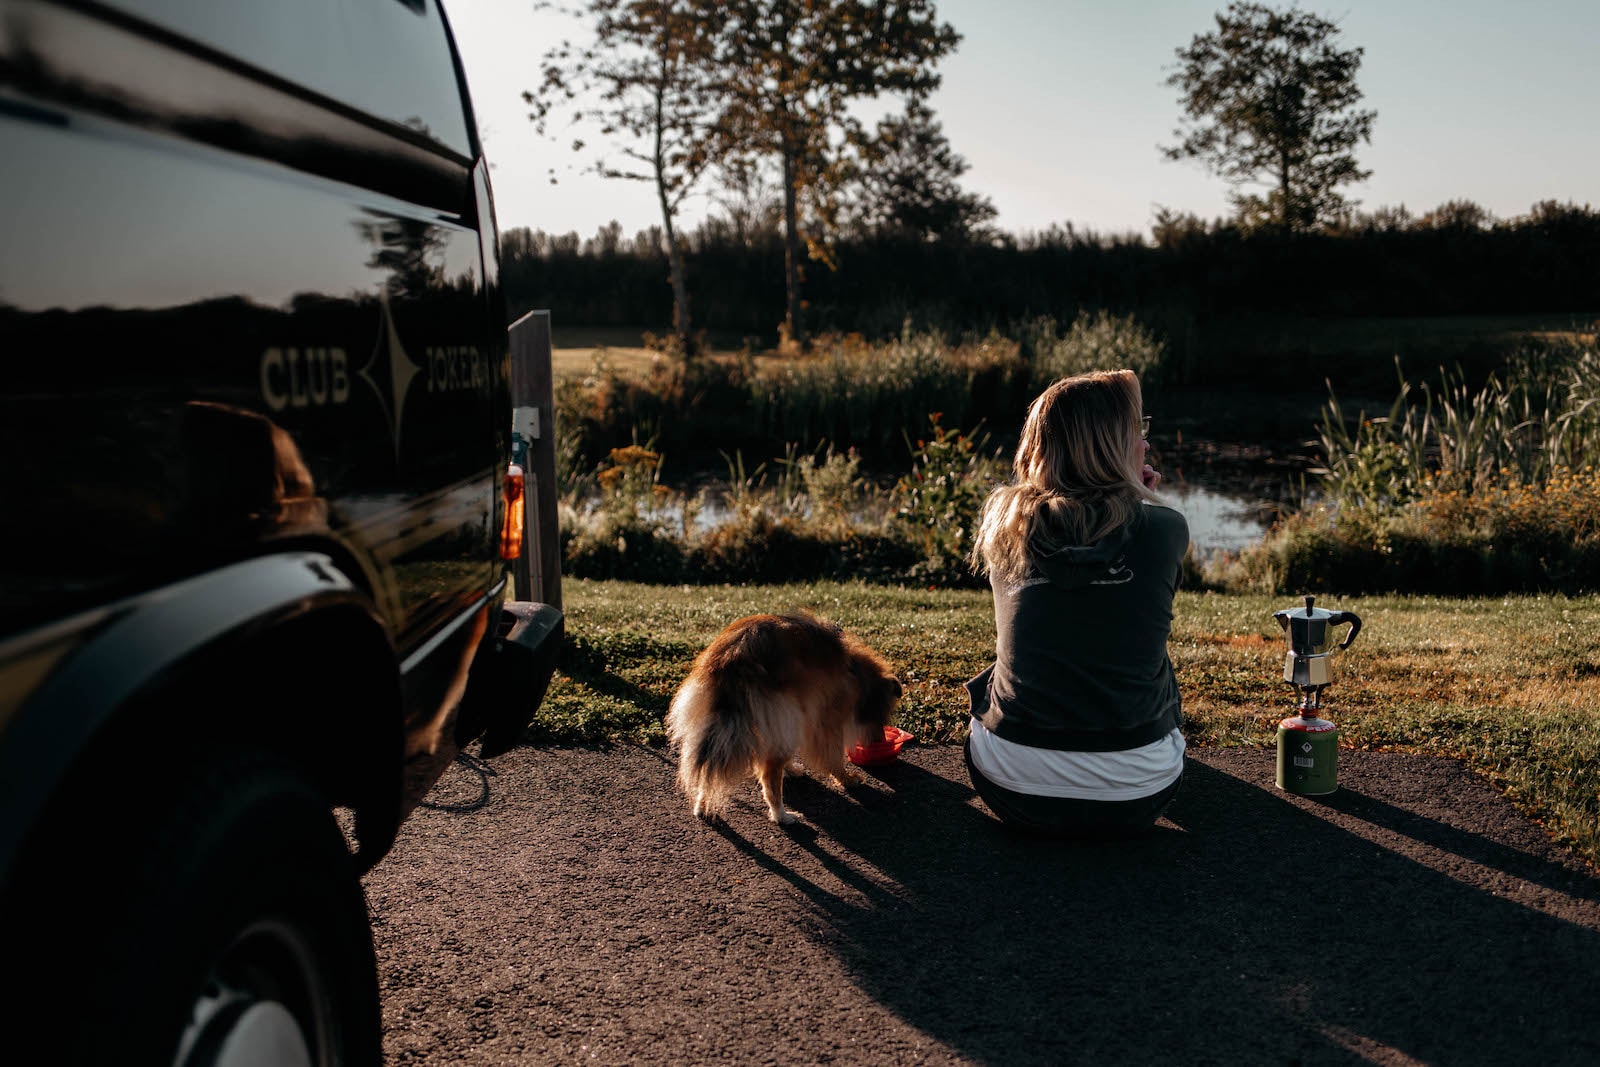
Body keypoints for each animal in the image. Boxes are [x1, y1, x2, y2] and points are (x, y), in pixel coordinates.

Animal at [662, 607, 908, 825]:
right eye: (882, 717)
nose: (879, 741)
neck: (855, 672)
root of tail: (732, 658)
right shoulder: (825, 719)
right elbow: (833, 757)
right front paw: (848, 779)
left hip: (720, 724)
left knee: (710, 769)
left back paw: (702, 807)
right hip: (786, 714)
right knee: (769, 773)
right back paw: (782, 816)